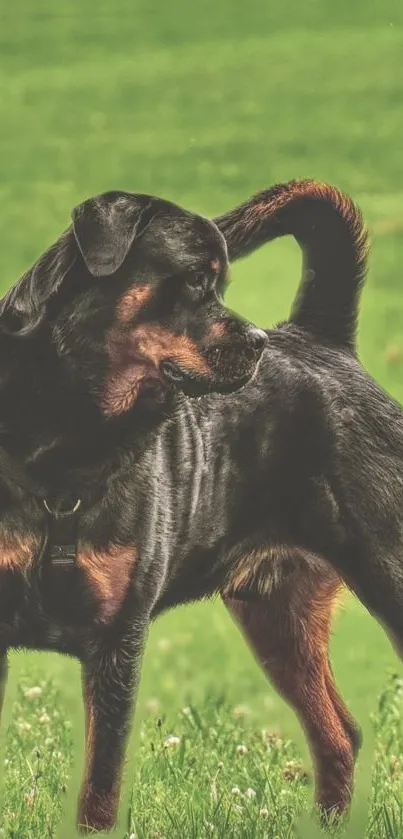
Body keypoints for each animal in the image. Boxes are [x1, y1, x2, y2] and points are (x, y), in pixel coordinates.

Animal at [0, 179, 398, 832]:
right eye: (193, 280)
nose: (257, 340)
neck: (74, 430)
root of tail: (324, 339)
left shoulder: (118, 640)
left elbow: (100, 788)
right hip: (278, 613)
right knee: (339, 735)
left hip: (385, 570)